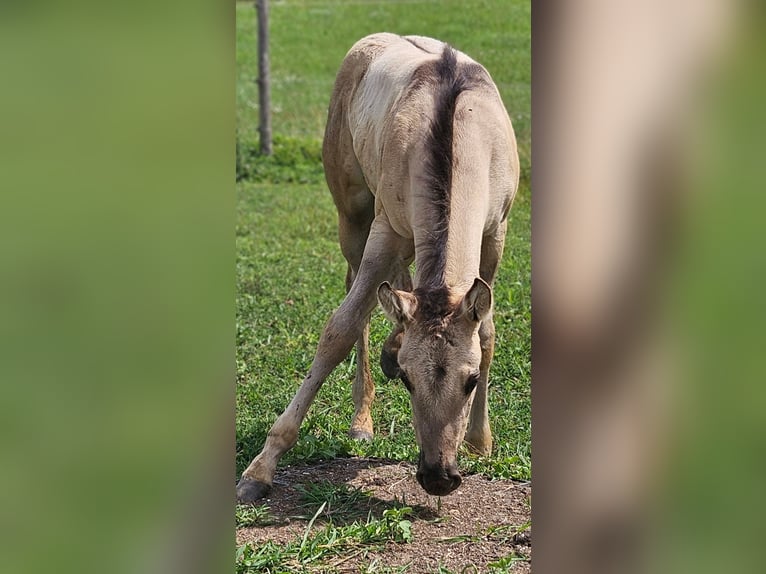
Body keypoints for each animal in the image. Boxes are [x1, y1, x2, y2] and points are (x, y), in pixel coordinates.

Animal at [237, 33, 519, 503]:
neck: (459, 132)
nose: (438, 477)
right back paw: (362, 419)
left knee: (401, 285)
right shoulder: (385, 229)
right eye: (408, 380)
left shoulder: (495, 232)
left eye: (472, 379)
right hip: (354, 215)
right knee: (362, 291)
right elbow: (341, 327)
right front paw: (261, 467)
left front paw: (480, 440)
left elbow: (486, 330)